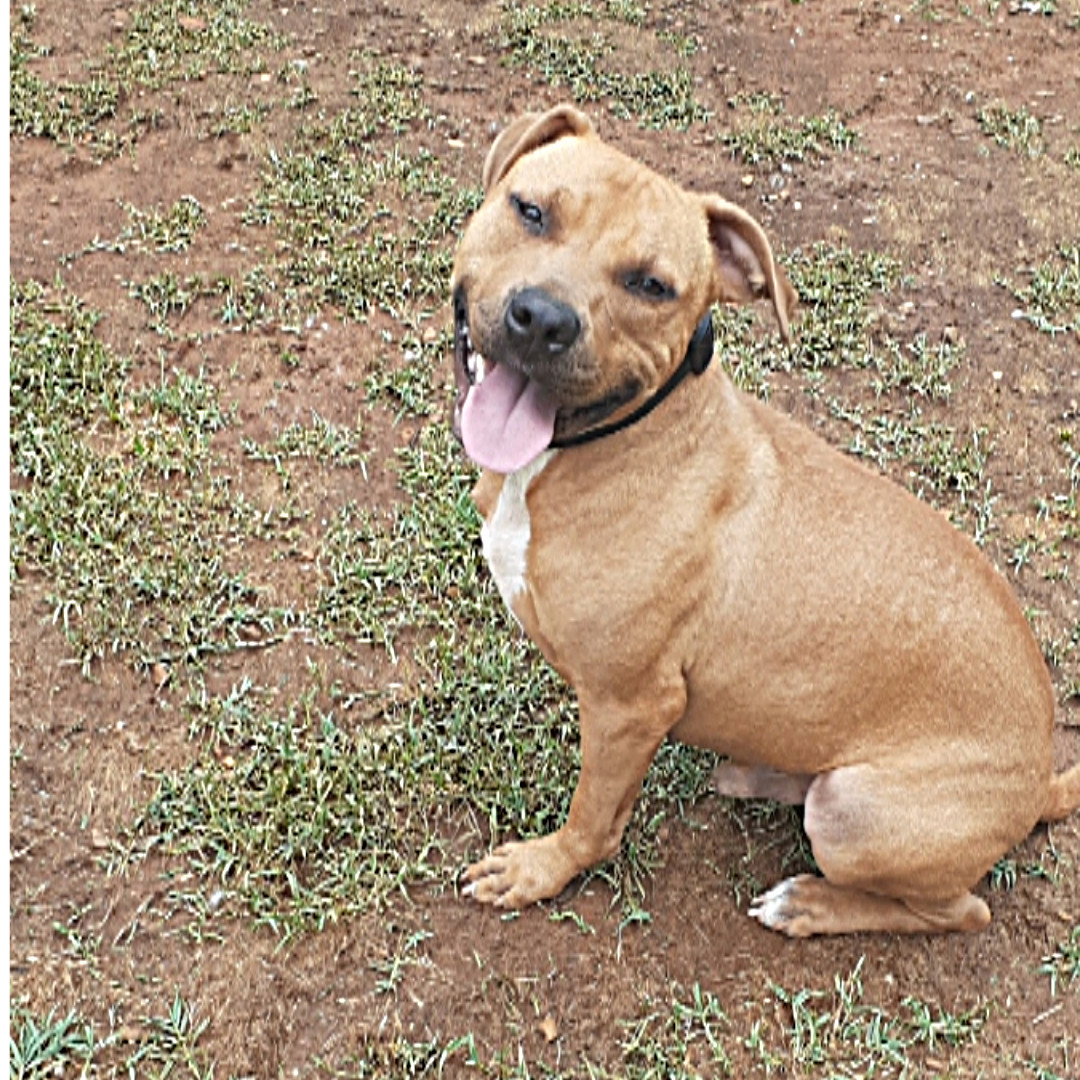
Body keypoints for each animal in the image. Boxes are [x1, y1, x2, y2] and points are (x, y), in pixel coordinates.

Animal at [447, 105, 1080, 941]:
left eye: (651, 285)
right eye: (529, 211)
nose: (542, 319)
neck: (615, 442)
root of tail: (1039, 783)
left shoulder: (629, 706)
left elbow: (591, 819)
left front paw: (540, 870)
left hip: (855, 812)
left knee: (958, 910)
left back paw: (810, 903)